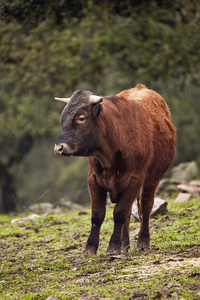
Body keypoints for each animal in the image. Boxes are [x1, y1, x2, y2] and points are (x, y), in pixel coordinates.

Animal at [54, 84, 176, 255]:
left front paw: (113, 246)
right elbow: (98, 215)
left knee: (146, 207)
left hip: (152, 179)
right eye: (62, 118)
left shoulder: (135, 179)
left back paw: (142, 243)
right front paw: (90, 248)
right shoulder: (93, 179)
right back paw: (124, 245)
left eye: (81, 118)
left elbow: (119, 213)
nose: (59, 148)